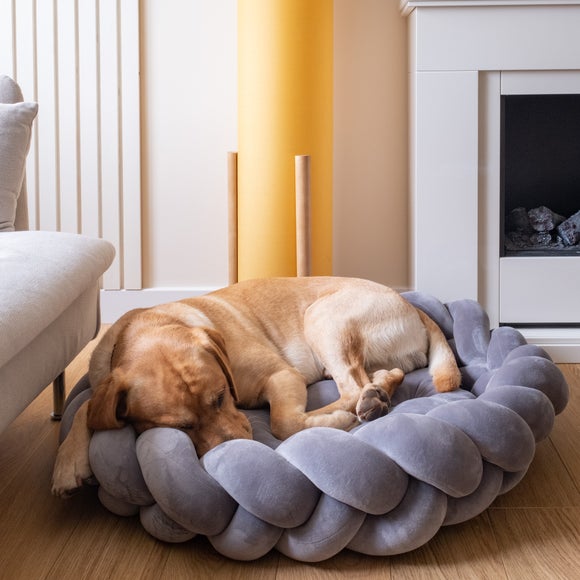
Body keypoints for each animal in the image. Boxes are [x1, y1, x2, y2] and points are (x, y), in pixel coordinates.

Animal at [54, 278, 462, 496]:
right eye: (182, 427)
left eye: (221, 397)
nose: (236, 445)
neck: (155, 324)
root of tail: (411, 305)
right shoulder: (104, 381)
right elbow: (87, 409)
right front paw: (68, 464)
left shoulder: (281, 375)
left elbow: (284, 422)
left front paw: (334, 422)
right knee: (384, 375)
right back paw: (378, 392)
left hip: (324, 319)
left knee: (350, 388)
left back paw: (364, 405)